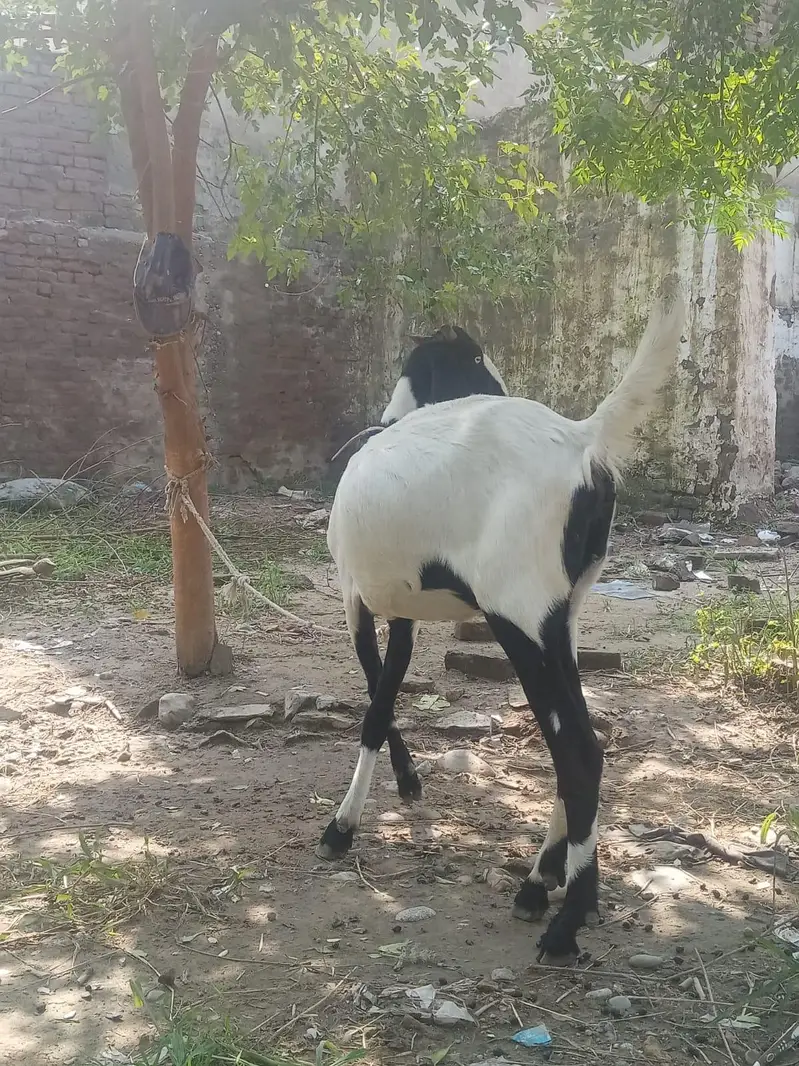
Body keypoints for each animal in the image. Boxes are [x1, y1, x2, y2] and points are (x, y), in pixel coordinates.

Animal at [318, 298, 684, 962]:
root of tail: (582, 439)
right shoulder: (403, 609)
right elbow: (387, 688)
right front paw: (407, 780)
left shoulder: (355, 598)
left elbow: (373, 702)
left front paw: (341, 827)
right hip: (559, 618)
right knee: (577, 742)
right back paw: (539, 882)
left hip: (518, 614)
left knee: (579, 750)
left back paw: (567, 920)